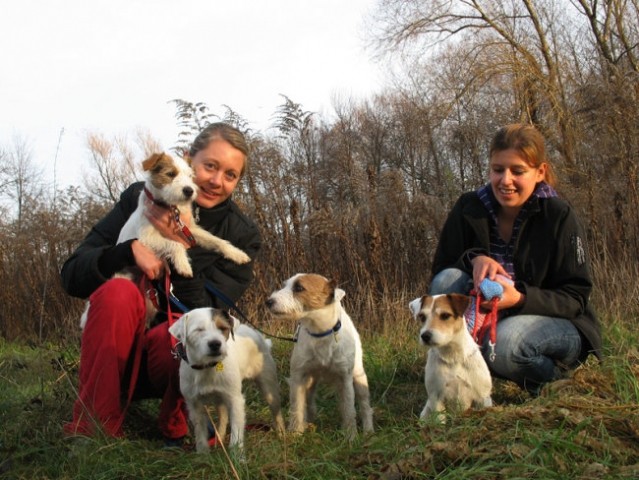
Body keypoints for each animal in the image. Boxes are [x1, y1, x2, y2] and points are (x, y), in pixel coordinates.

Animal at [168, 308, 284, 454]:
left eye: (222, 328)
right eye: (199, 330)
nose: (215, 344)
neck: (208, 367)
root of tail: (258, 336)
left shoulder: (235, 400)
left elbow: (236, 432)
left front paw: (237, 456)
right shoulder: (194, 404)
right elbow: (200, 432)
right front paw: (203, 454)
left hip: (268, 387)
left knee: (275, 409)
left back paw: (281, 432)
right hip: (220, 398)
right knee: (223, 416)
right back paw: (219, 437)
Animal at [266, 274, 376, 438]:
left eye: (299, 288)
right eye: (284, 285)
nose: (269, 301)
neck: (320, 332)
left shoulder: (345, 379)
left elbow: (349, 410)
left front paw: (350, 436)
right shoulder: (298, 376)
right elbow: (297, 406)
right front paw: (296, 433)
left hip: (359, 376)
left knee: (364, 405)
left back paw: (368, 429)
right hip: (310, 380)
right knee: (309, 400)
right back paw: (309, 421)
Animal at [410, 292, 496, 424]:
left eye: (445, 315)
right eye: (422, 317)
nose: (425, 336)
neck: (453, 357)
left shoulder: (482, 398)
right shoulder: (436, 397)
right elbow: (439, 420)